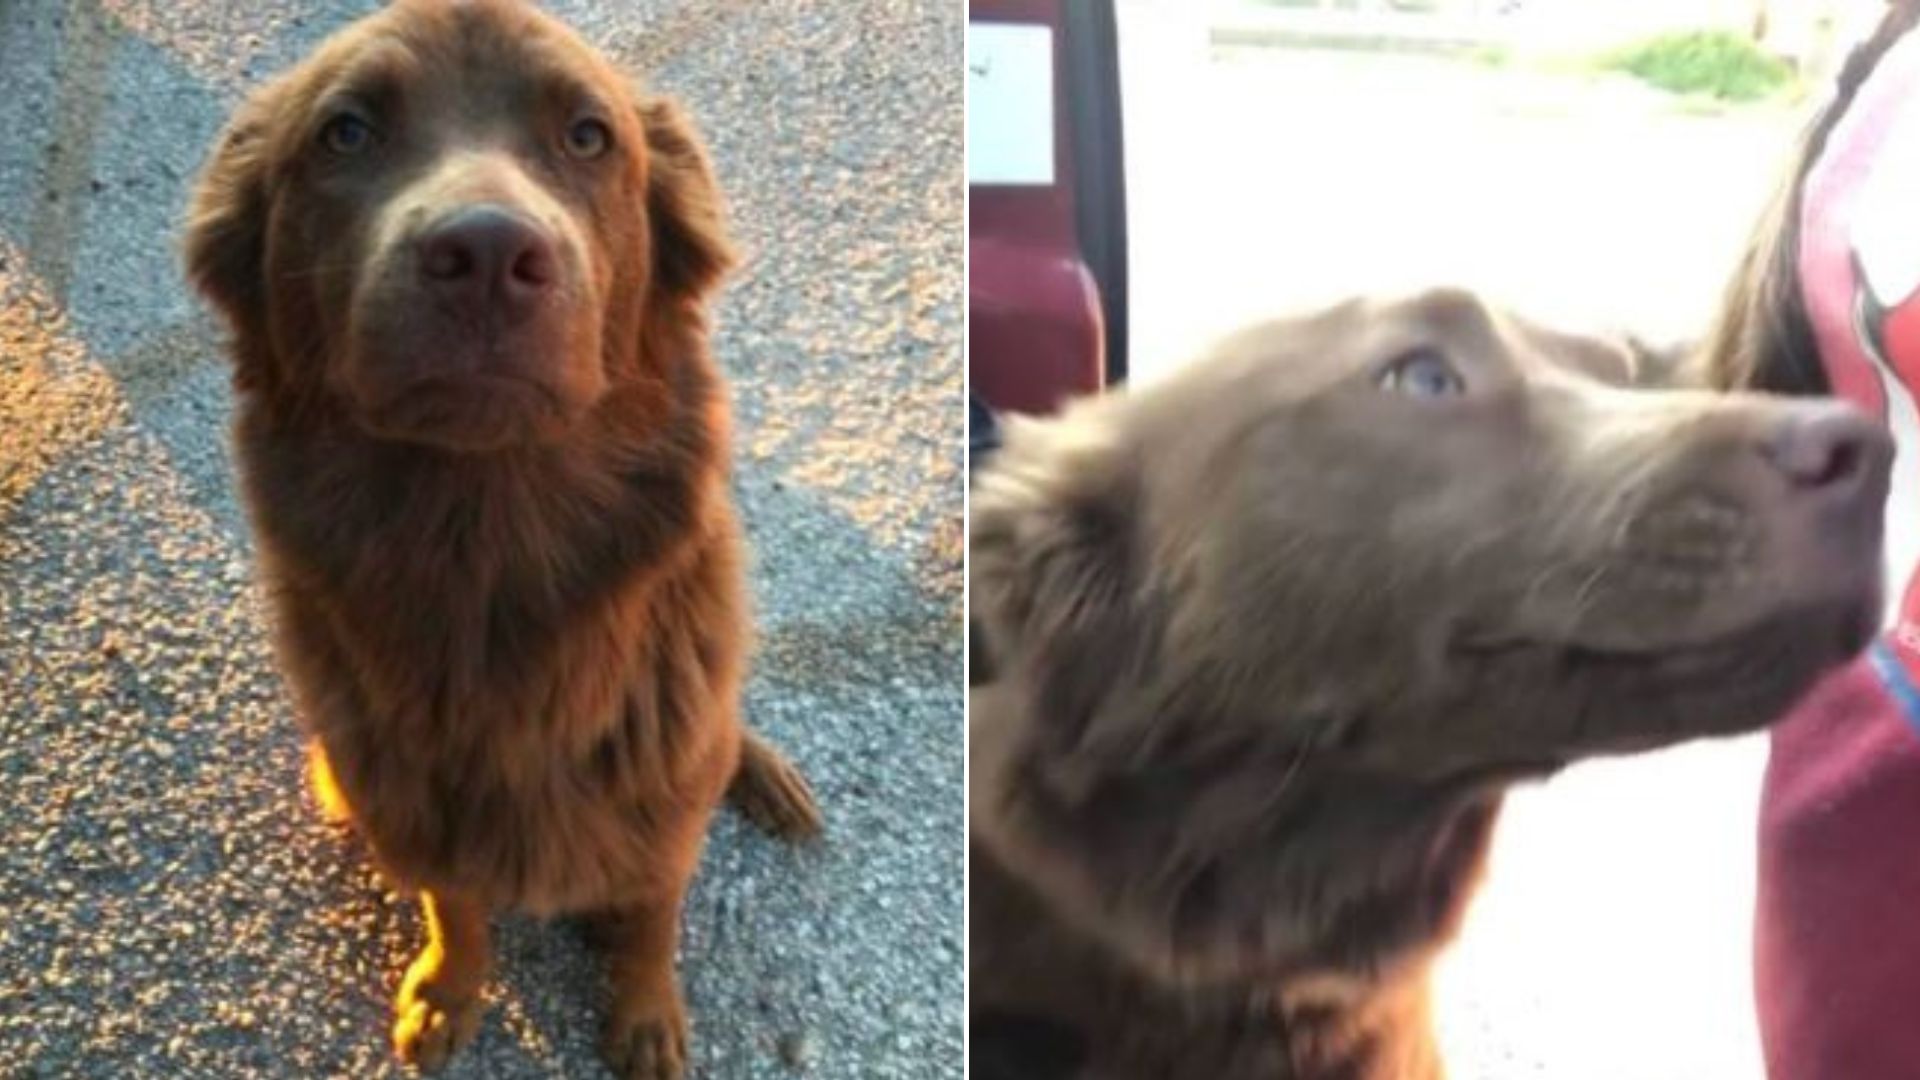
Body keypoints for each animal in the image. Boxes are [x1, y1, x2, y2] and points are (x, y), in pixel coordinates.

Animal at [185, 4, 825, 1068]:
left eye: (589, 136)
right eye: (346, 132)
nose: (485, 255)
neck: (486, 545)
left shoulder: (660, 804)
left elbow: (654, 914)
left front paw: (646, 1013)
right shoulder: (410, 805)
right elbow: (459, 908)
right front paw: (450, 994)